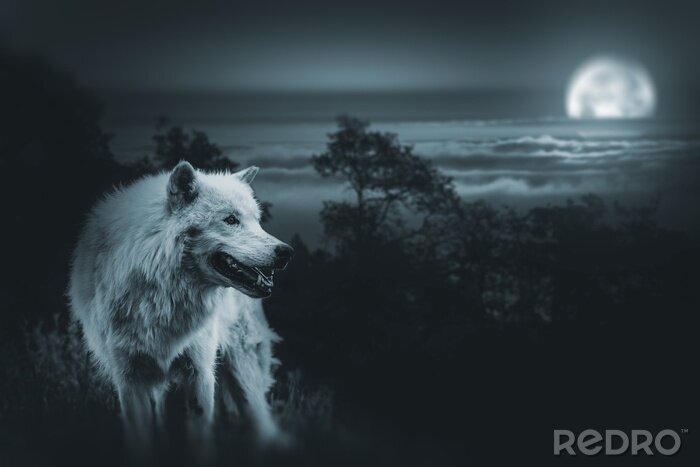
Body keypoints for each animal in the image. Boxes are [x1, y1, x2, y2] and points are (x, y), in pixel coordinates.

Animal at [68, 161, 292, 452]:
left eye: (257, 220)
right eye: (231, 220)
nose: (286, 252)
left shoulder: (200, 375)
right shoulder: (129, 380)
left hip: (243, 373)